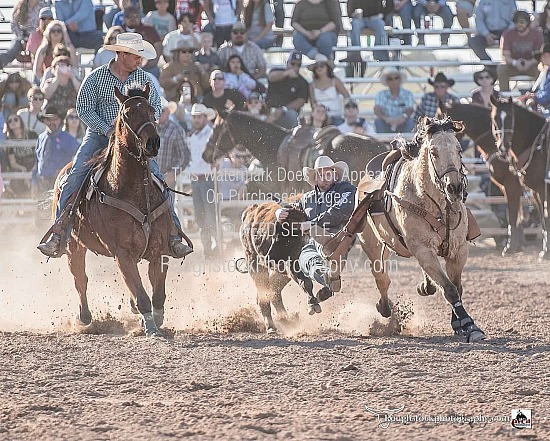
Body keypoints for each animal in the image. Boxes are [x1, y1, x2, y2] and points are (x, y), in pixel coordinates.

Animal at [52, 84, 172, 336]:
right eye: (128, 113)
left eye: (152, 111)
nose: (153, 143)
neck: (132, 191)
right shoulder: (122, 253)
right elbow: (143, 296)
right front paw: (151, 328)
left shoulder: (158, 250)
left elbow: (157, 293)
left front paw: (156, 320)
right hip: (73, 246)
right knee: (80, 279)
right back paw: (85, 317)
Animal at [492, 97, 550, 258]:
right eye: (494, 119)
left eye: (510, 118)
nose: (502, 147)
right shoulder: (535, 191)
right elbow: (543, 218)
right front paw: (545, 250)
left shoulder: (543, 188)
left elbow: (546, 216)